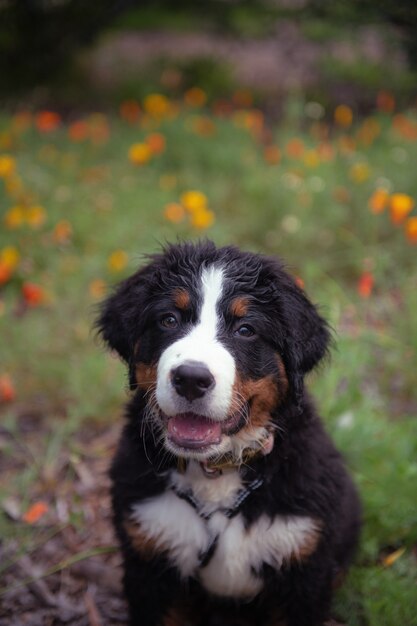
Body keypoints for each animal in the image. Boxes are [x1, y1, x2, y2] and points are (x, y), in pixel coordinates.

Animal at [96, 240, 360, 624]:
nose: (191, 379)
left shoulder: (302, 571)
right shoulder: (150, 565)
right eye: (169, 320)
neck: (216, 473)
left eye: (245, 329)